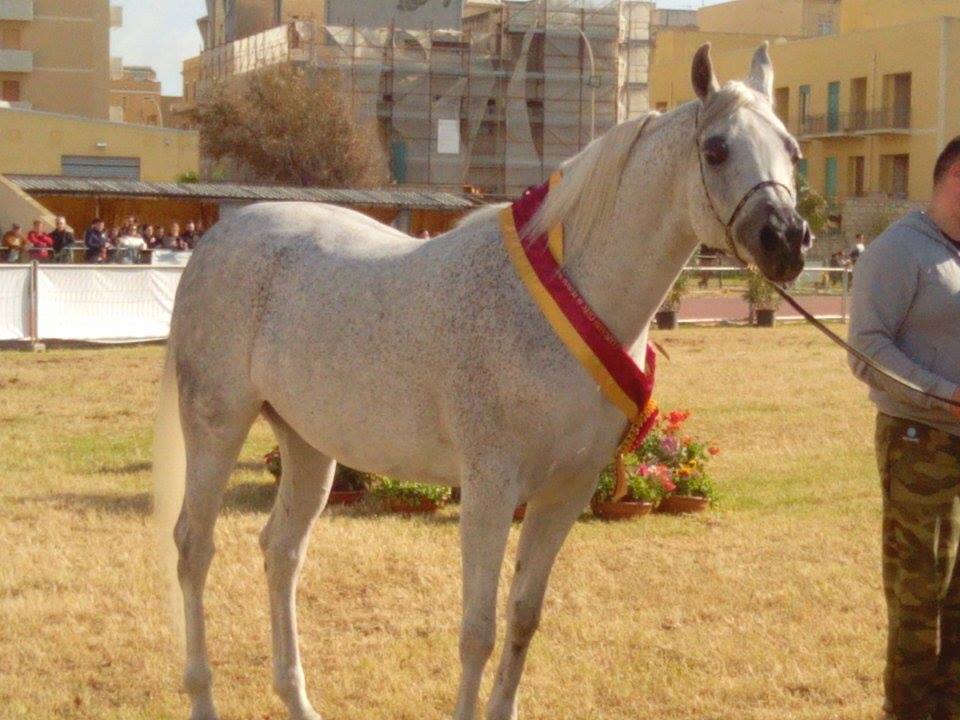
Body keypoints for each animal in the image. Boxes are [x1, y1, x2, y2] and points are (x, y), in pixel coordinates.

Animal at [153, 43, 810, 720]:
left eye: (793, 151)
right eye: (717, 149)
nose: (787, 239)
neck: (564, 300)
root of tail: (218, 237)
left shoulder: (564, 493)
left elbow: (522, 618)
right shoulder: (492, 488)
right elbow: (478, 631)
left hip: (308, 445)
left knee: (281, 551)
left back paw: (298, 699)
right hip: (217, 426)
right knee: (194, 549)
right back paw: (202, 694)